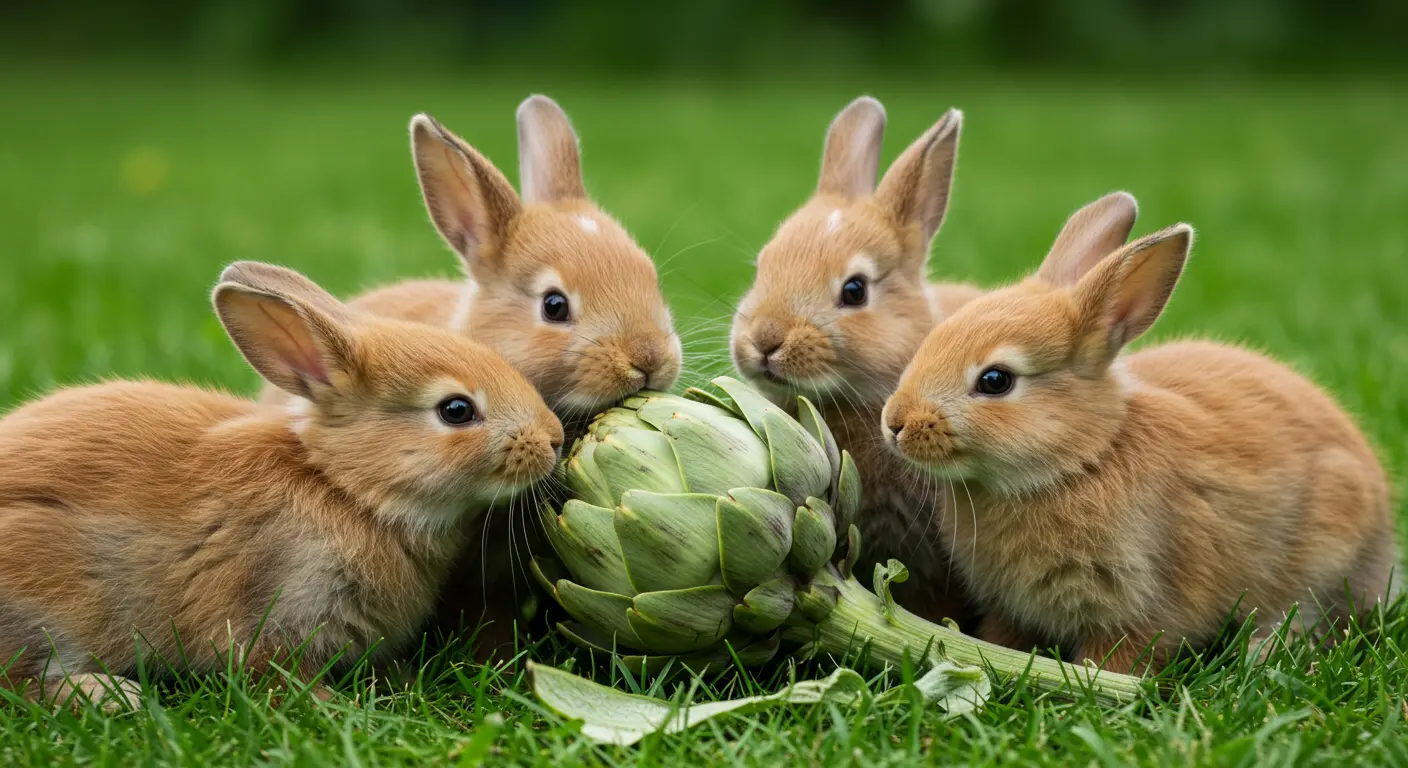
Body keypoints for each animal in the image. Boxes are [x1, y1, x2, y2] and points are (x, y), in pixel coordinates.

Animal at [0, 261, 562, 711]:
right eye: (456, 410)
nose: (554, 438)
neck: (344, 488)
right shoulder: (275, 609)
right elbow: (272, 672)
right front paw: (331, 703)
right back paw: (108, 695)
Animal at [882, 191, 1399, 673]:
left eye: (996, 380)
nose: (895, 424)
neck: (1084, 459)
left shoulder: (1141, 601)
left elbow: (1123, 654)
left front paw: (1100, 682)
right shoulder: (1011, 607)